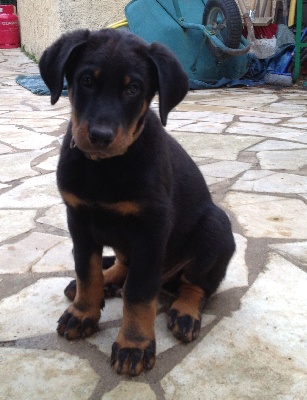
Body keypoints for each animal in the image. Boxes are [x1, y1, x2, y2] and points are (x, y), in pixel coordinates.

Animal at [38, 28, 236, 376]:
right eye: (86, 80)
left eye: (133, 89)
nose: (100, 136)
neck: (105, 167)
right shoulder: (78, 219)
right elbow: (87, 269)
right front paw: (83, 312)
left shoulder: (151, 230)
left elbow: (140, 291)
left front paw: (134, 345)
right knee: (121, 266)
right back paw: (105, 283)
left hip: (216, 227)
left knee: (197, 285)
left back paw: (185, 312)